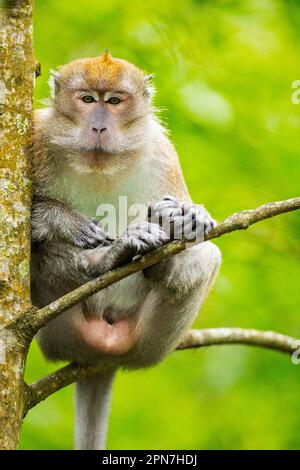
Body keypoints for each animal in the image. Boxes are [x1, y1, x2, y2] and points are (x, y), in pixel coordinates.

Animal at [29, 50, 220, 448]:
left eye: (114, 102)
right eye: (88, 100)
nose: (100, 127)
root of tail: (102, 357)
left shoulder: (163, 154)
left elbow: (200, 234)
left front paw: (189, 215)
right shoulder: (36, 137)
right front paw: (65, 220)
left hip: (151, 345)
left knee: (206, 257)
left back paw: (162, 265)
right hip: (58, 335)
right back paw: (106, 259)